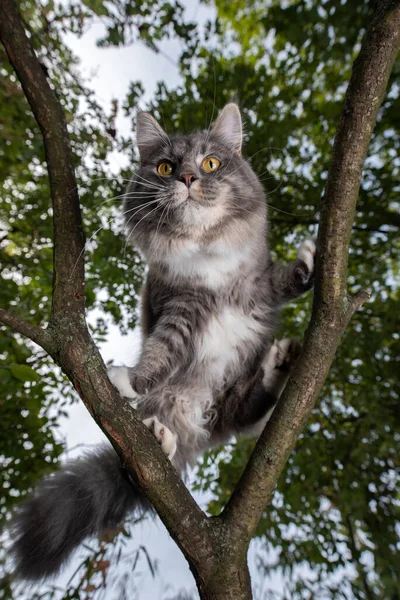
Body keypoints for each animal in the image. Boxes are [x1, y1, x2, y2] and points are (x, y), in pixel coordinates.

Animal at [10, 104, 316, 580]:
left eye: (210, 163)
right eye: (166, 167)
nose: (187, 178)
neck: (207, 257)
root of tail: (192, 415)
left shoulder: (258, 285)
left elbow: (285, 280)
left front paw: (308, 262)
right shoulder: (178, 311)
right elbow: (160, 355)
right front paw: (131, 380)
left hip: (232, 389)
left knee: (246, 410)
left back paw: (280, 364)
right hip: (161, 420)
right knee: (152, 461)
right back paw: (159, 438)